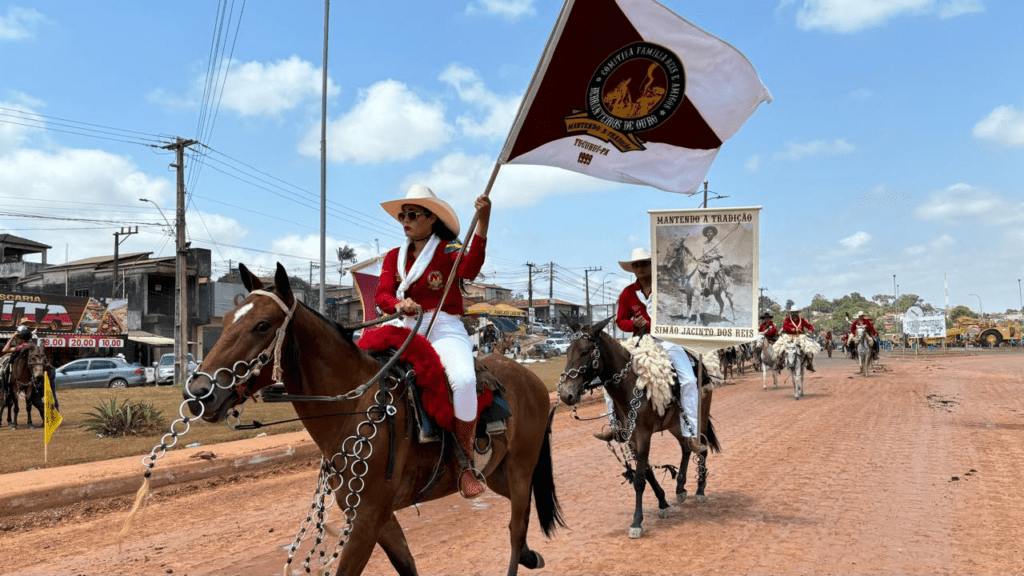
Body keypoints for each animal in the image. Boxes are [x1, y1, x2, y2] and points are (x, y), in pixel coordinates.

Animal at [185, 264, 569, 573]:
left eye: (262, 325)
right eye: (229, 322)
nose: (199, 392)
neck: (355, 406)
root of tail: (534, 381)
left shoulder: (368, 518)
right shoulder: (376, 518)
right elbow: (407, 564)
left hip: (520, 469)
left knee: (516, 530)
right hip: (498, 473)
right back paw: (531, 555)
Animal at [561, 317, 720, 537]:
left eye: (584, 351)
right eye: (567, 351)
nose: (565, 394)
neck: (630, 385)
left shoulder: (644, 435)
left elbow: (639, 479)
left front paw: (636, 522)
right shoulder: (631, 438)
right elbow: (646, 472)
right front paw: (663, 503)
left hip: (700, 416)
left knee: (701, 449)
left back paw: (700, 490)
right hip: (675, 424)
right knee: (686, 447)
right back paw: (680, 488)